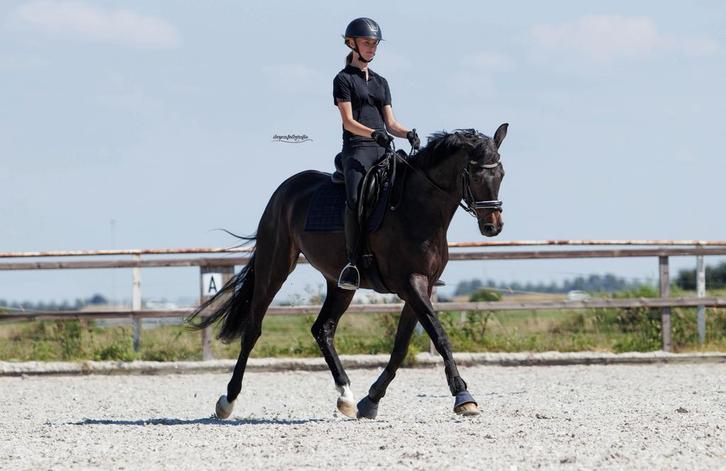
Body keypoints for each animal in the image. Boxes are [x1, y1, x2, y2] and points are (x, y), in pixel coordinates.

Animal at [188, 123, 508, 419]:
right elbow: (439, 337)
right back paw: (227, 401)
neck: (417, 209)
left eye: (501, 174)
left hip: (339, 283)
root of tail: (286, 188)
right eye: (475, 175)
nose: (492, 226)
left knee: (323, 329)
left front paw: (372, 399)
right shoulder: (411, 283)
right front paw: (463, 396)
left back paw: (346, 395)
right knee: (253, 329)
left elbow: (401, 345)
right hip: (274, 267)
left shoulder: (422, 285)